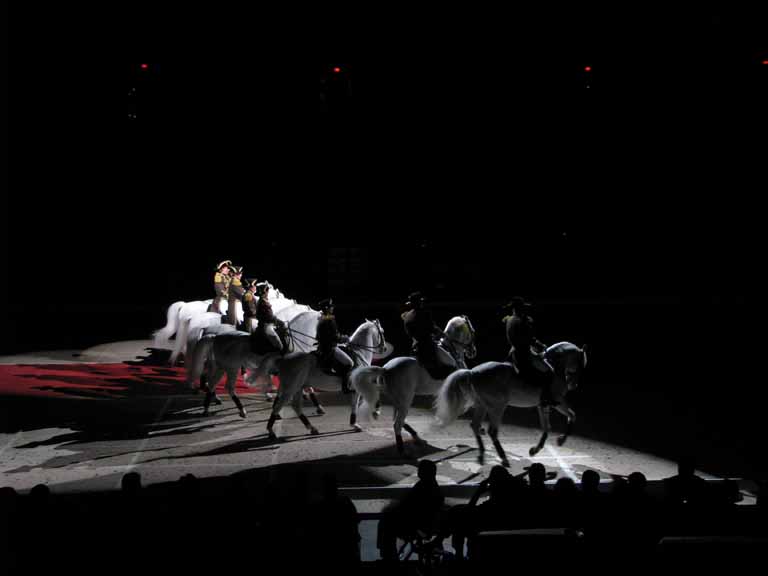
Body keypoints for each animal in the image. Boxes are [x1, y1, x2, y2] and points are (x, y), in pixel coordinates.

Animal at [352, 316, 476, 454]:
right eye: (472, 331)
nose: (473, 351)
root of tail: (386, 369)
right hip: (406, 400)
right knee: (397, 424)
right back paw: (402, 450)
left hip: (398, 401)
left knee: (399, 421)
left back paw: (417, 438)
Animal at [432, 342, 588, 468]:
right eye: (581, 364)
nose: (573, 385)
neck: (556, 366)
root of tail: (472, 372)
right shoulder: (557, 401)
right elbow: (572, 415)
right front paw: (561, 440)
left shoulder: (543, 405)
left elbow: (547, 427)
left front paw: (534, 450)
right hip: (497, 407)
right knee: (492, 432)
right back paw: (504, 459)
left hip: (482, 405)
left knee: (475, 425)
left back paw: (482, 456)